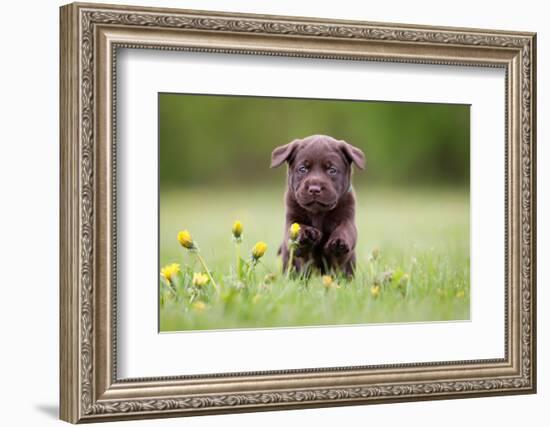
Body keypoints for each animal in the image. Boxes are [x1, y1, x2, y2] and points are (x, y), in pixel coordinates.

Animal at [272, 135, 366, 280]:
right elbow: (295, 228)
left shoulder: (348, 217)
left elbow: (346, 229)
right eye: (303, 169)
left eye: (332, 170)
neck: (318, 213)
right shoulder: (291, 218)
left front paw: (339, 242)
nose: (314, 189)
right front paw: (307, 233)